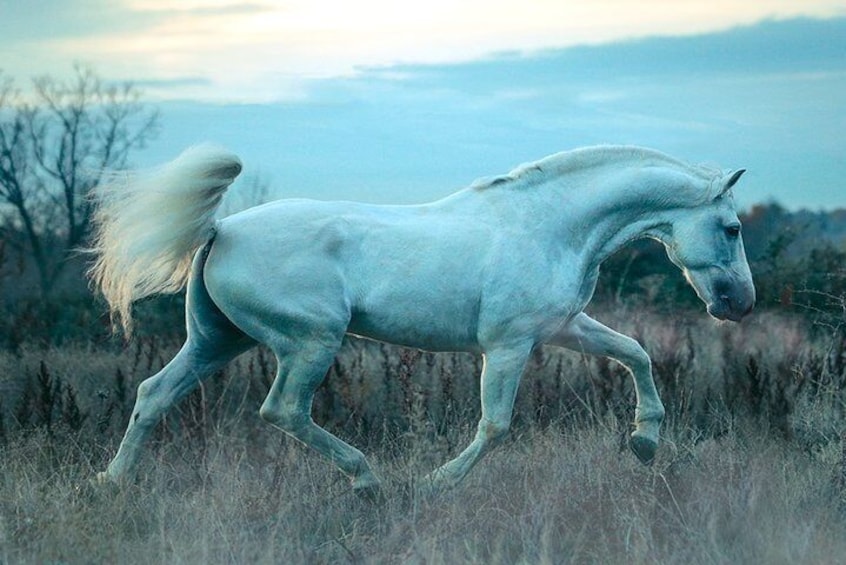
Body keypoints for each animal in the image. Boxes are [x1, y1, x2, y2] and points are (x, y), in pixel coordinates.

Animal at [89, 144, 760, 494]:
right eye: (731, 227)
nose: (739, 303)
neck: (549, 225)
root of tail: (219, 229)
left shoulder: (564, 327)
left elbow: (635, 353)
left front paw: (644, 442)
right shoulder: (509, 345)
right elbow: (496, 425)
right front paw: (438, 482)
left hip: (216, 340)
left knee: (153, 394)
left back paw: (112, 482)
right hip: (309, 341)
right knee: (282, 410)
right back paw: (368, 481)